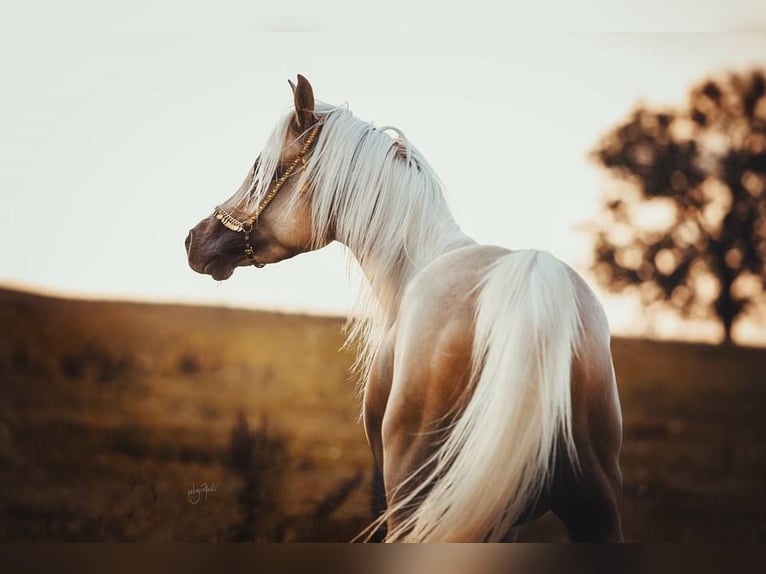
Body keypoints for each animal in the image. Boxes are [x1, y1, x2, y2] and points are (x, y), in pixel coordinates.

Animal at [184, 76, 624, 544]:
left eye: (259, 169)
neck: (413, 264)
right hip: (592, 510)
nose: (195, 240)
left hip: (414, 496)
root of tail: (534, 291)